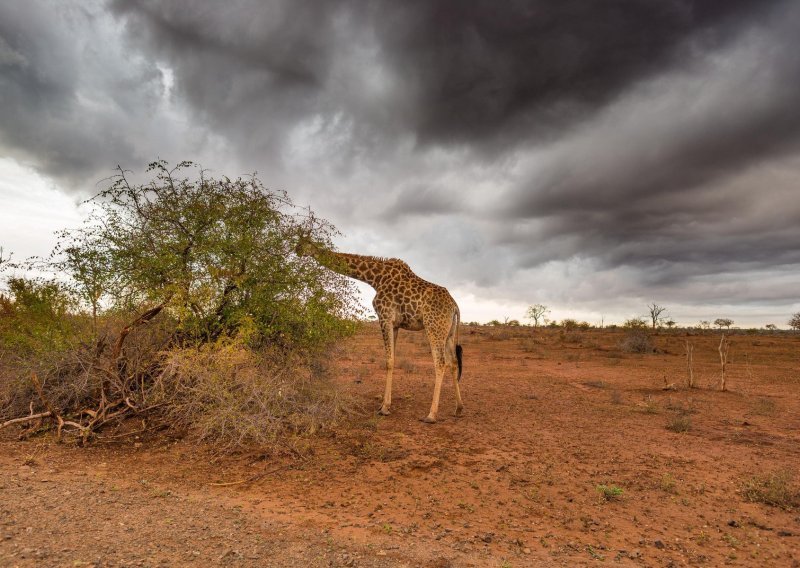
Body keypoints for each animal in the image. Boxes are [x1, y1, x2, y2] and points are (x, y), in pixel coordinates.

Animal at [296, 234, 462, 422]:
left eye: (303, 243)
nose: (296, 250)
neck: (375, 278)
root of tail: (454, 305)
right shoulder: (396, 325)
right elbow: (392, 359)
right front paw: (385, 405)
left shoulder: (385, 317)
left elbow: (388, 361)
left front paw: (384, 408)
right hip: (448, 332)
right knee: (454, 362)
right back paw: (458, 408)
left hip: (434, 328)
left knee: (440, 363)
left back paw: (431, 414)